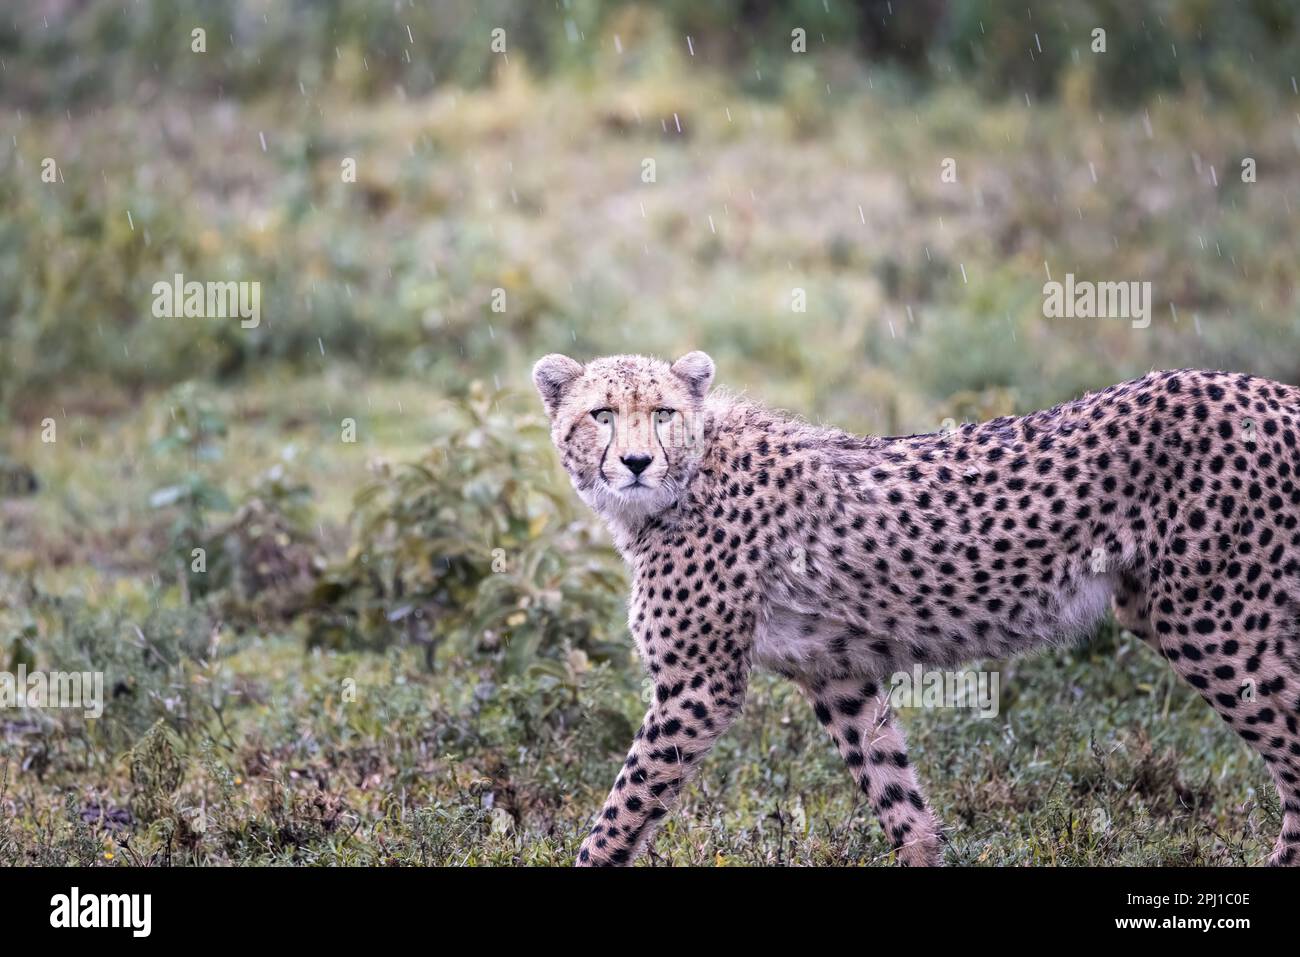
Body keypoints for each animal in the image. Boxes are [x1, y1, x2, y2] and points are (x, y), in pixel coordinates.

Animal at [533, 353, 1300, 868]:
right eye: (602, 415)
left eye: (662, 413)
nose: (635, 462)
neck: (682, 481)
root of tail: (1265, 387)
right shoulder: (835, 673)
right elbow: (894, 789)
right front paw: (925, 850)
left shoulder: (697, 684)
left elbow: (626, 803)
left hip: (1212, 620)